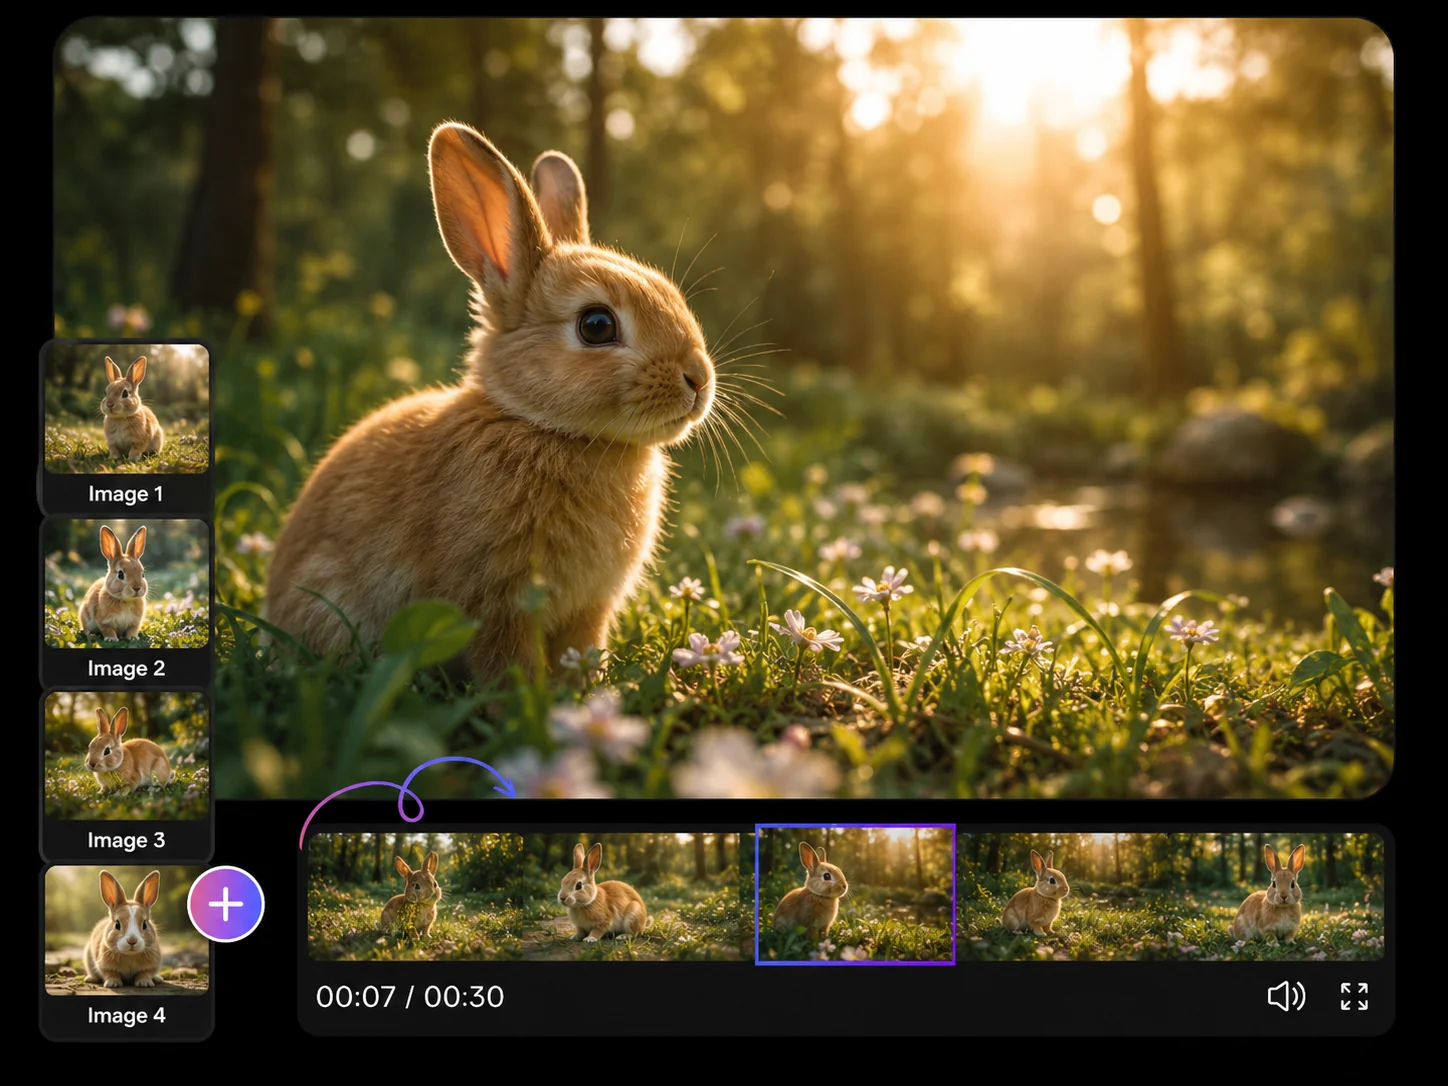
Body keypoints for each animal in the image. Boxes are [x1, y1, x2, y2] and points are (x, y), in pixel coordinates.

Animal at [264, 122, 716, 683]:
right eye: (596, 325)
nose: (698, 378)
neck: (539, 424)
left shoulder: (589, 609)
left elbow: (581, 648)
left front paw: (586, 690)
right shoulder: (497, 599)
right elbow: (506, 661)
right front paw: (527, 700)